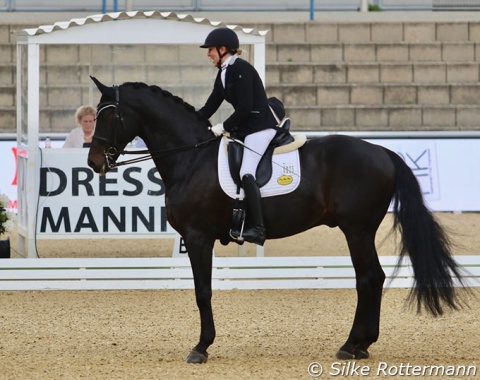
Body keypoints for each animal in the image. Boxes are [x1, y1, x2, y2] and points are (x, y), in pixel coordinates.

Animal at [87, 78, 464, 366]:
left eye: (109, 117)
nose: (94, 163)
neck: (190, 158)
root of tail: (384, 152)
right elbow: (202, 291)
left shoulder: (197, 237)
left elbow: (202, 292)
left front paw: (201, 348)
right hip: (361, 229)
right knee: (373, 278)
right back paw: (360, 345)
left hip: (356, 229)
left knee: (368, 278)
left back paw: (352, 345)